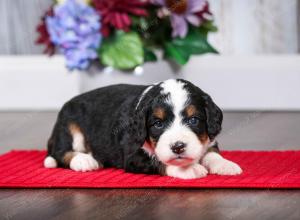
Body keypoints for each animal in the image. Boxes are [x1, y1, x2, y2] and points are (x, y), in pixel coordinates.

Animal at [44, 79, 241, 179]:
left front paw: (226, 165)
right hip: (69, 126)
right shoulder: (133, 155)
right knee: (60, 152)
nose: (178, 147)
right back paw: (84, 160)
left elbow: (212, 153)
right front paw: (189, 169)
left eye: (193, 120)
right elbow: (160, 161)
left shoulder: (208, 140)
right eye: (158, 124)